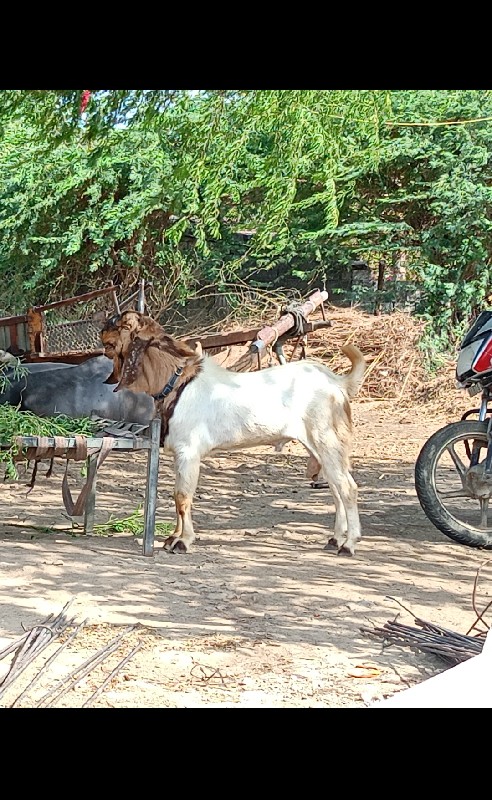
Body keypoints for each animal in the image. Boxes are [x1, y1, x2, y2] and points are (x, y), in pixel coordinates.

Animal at [102, 310, 368, 556]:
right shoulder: (179, 455)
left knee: (347, 488)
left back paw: (349, 544)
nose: (103, 330)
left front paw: (183, 541)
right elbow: (177, 496)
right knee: (335, 487)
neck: (178, 382)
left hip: (327, 440)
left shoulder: (189, 452)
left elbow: (182, 496)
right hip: (319, 446)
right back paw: (335, 538)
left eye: (124, 325)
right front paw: (173, 537)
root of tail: (337, 383)